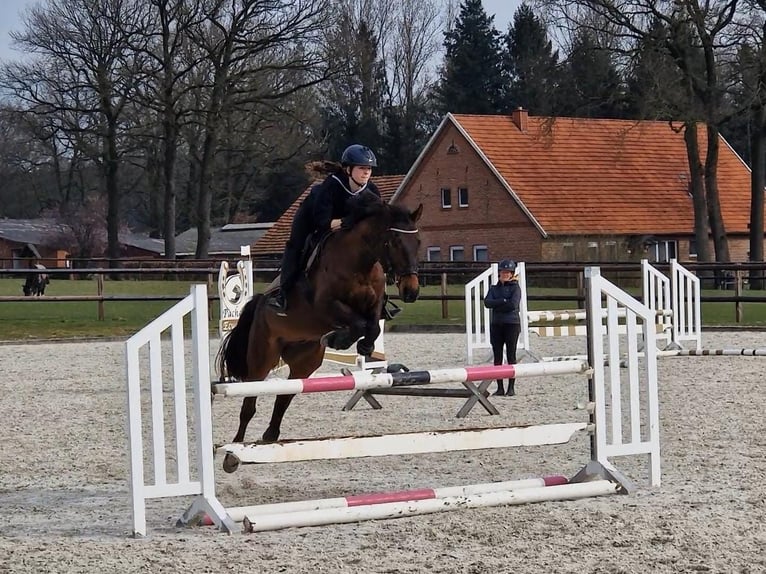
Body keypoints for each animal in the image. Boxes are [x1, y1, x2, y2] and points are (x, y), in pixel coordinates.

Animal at [218, 194, 426, 472]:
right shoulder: (326, 306)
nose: (411, 291)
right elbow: (358, 324)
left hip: (305, 360)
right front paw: (344, 339)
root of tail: (261, 301)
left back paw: (270, 436)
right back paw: (233, 453)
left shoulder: (374, 305)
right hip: (263, 357)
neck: (359, 262)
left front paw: (359, 345)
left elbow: (371, 325)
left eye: (418, 242)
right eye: (394, 241)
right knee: (249, 403)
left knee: (286, 394)